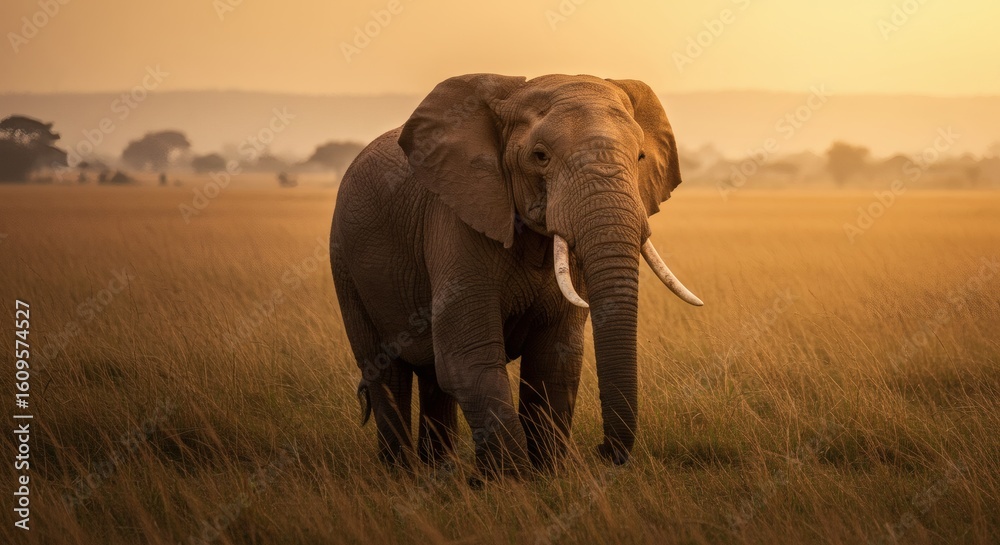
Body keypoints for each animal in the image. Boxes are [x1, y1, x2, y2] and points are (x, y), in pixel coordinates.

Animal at [329, 73, 702, 477]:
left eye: (640, 157)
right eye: (540, 156)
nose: (602, 452)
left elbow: (555, 359)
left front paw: (547, 476)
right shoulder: (456, 219)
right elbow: (468, 357)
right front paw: (511, 481)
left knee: (431, 377)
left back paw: (440, 474)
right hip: (345, 262)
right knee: (386, 371)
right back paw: (402, 475)